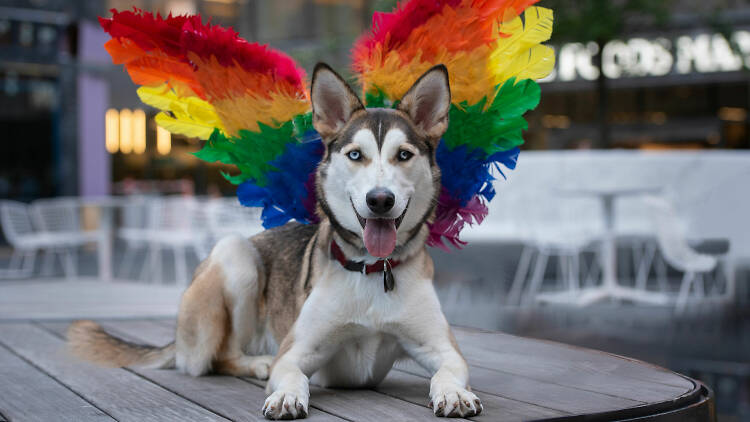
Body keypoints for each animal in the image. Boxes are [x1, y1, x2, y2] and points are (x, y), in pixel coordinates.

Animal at [69, 64, 482, 420]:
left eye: (404, 155)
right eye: (355, 155)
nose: (380, 200)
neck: (371, 267)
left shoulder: (443, 349)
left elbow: (447, 371)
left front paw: (455, 393)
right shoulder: (297, 351)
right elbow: (293, 374)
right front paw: (285, 395)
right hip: (235, 256)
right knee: (218, 358)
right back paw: (257, 363)